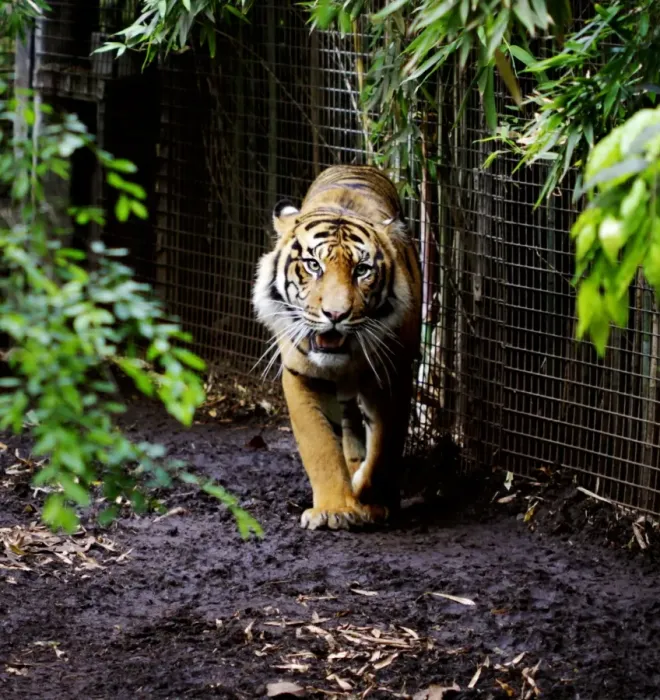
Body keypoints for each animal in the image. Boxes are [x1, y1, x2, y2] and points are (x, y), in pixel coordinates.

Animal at [252, 165, 422, 531]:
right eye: (314, 265)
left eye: (362, 270)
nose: (335, 315)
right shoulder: (301, 376)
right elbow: (320, 445)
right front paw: (334, 509)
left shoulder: (393, 376)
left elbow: (383, 447)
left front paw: (370, 501)